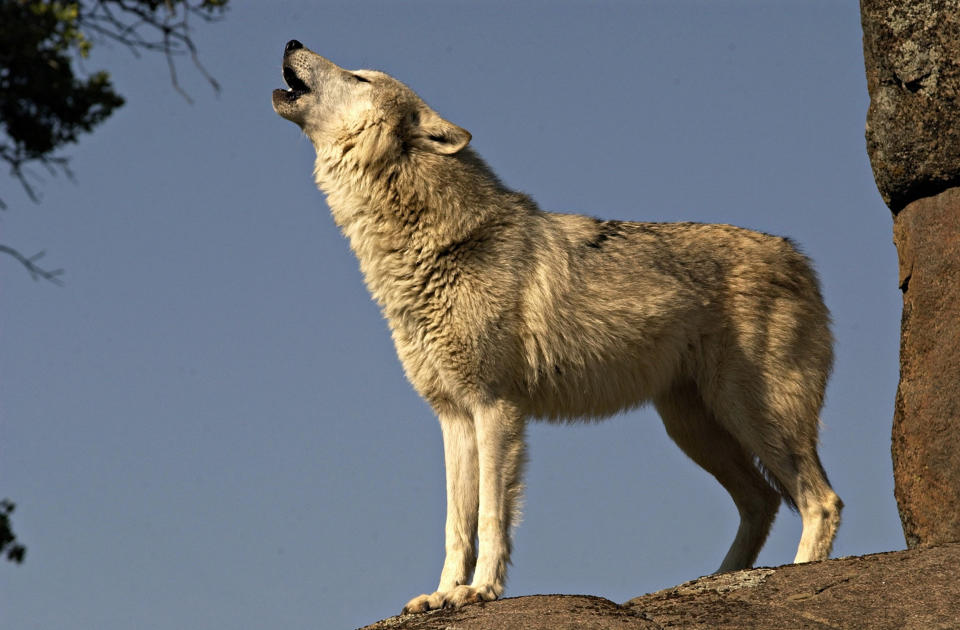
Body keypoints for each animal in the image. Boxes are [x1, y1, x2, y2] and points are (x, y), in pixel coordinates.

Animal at [270, 38, 840, 612]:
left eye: (360, 77)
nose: (292, 41)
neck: (436, 248)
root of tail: (800, 258)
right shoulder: (453, 416)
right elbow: (456, 524)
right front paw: (442, 593)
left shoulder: (495, 408)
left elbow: (492, 517)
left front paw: (480, 590)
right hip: (694, 428)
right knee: (763, 500)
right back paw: (716, 581)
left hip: (752, 414)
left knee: (821, 500)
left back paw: (794, 575)